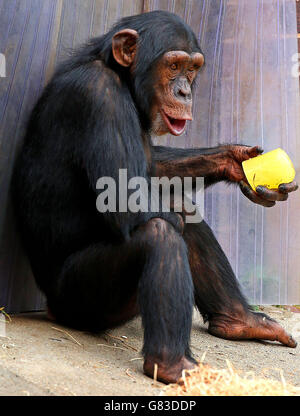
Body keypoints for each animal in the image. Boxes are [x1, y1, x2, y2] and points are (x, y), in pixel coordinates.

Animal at [12, 11, 298, 384]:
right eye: (173, 65)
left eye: (192, 69)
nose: (185, 91)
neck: (122, 78)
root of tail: (50, 308)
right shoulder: (100, 97)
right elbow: (126, 201)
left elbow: (154, 170)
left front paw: (236, 162)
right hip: (79, 301)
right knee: (160, 232)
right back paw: (175, 365)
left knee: (181, 209)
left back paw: (241, 322)